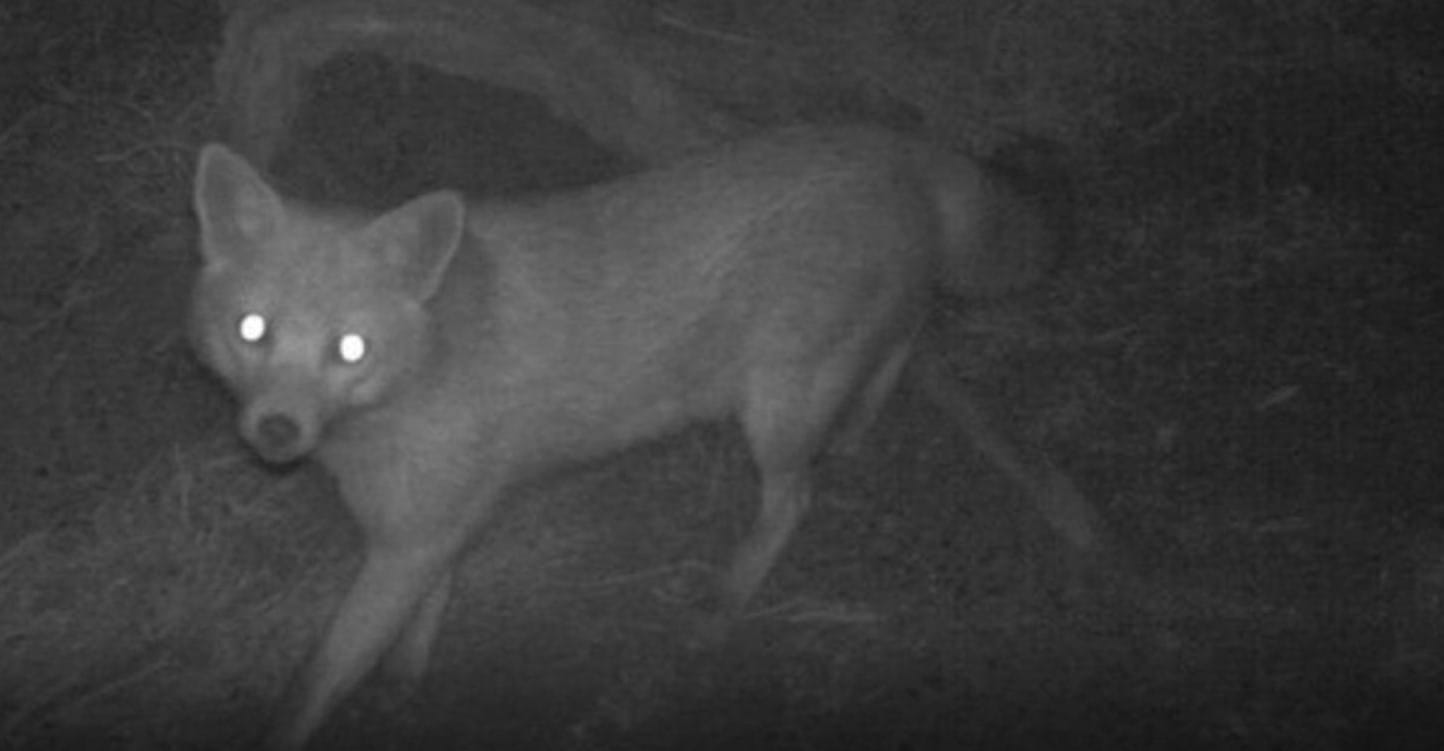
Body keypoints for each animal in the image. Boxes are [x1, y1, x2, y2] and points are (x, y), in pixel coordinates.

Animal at [188, 125, 1104, 749]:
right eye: (252, 329)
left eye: (350, 348)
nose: (276, 428)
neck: (428, 364)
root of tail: (887, 142)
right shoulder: (435, 523)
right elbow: (425, 615)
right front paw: (404, 681)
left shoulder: (413, 534)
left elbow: (311, 685)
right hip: (843, 359)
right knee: (908, 338)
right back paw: (857, 429)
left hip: (774, 413)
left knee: (796, 499)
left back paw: (721, 606)